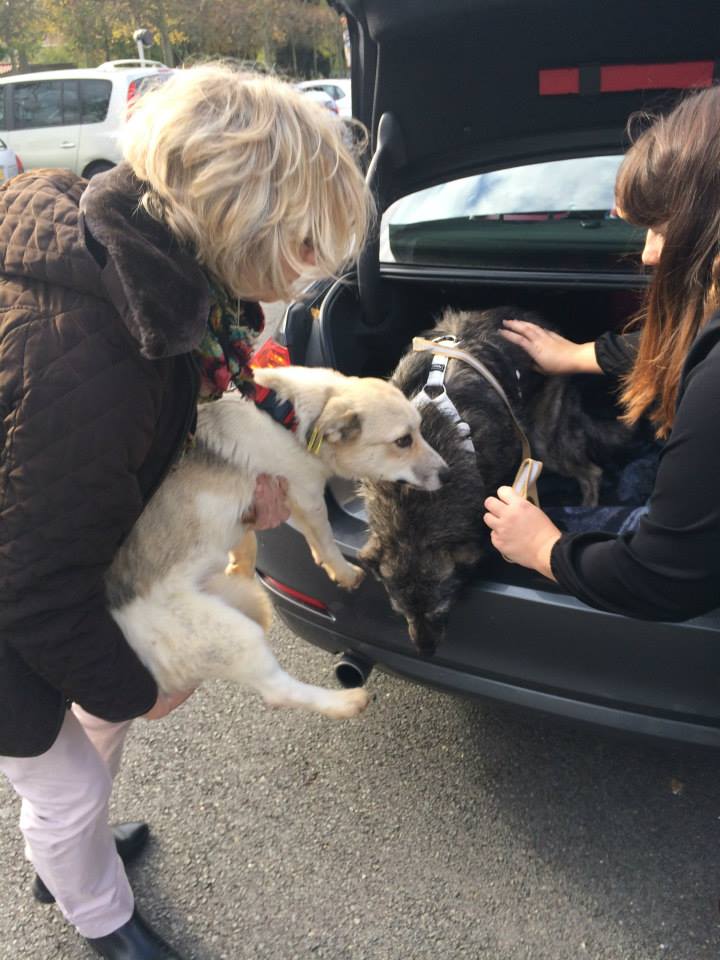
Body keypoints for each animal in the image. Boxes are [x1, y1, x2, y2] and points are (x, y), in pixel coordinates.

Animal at [105, 365, 447, 719]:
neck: (289, 418)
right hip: (235, 635)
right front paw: (344, 572)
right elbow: (325, 538)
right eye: (403, 441)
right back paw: (345, 702)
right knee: (278, 692)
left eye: (419, 431)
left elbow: (296, 538)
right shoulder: (307, 495)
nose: (448, 473)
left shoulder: (284, 500)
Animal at [360, 306, 633, 657]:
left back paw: (587, 505)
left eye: (442, 609)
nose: (425, 652)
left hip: (542, 438)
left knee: (591, 472)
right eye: (400, 612)